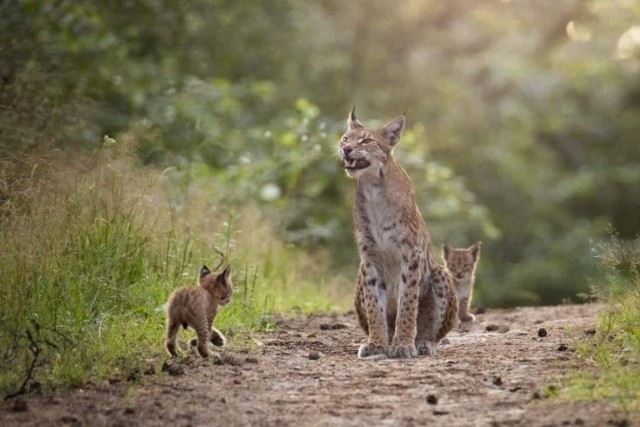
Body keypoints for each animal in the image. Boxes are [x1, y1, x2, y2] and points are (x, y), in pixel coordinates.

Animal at [338, 108, 458, 358]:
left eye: (367, 141)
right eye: (345, 138)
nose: (346, 149)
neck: (372, 186)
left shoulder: (410, 254)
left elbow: (407, 302)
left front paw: (403, 344)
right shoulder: (369, 256)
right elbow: (374, 303)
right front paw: (377, 343)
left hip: (440, 271)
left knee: (434, 331)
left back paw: (422, 342)